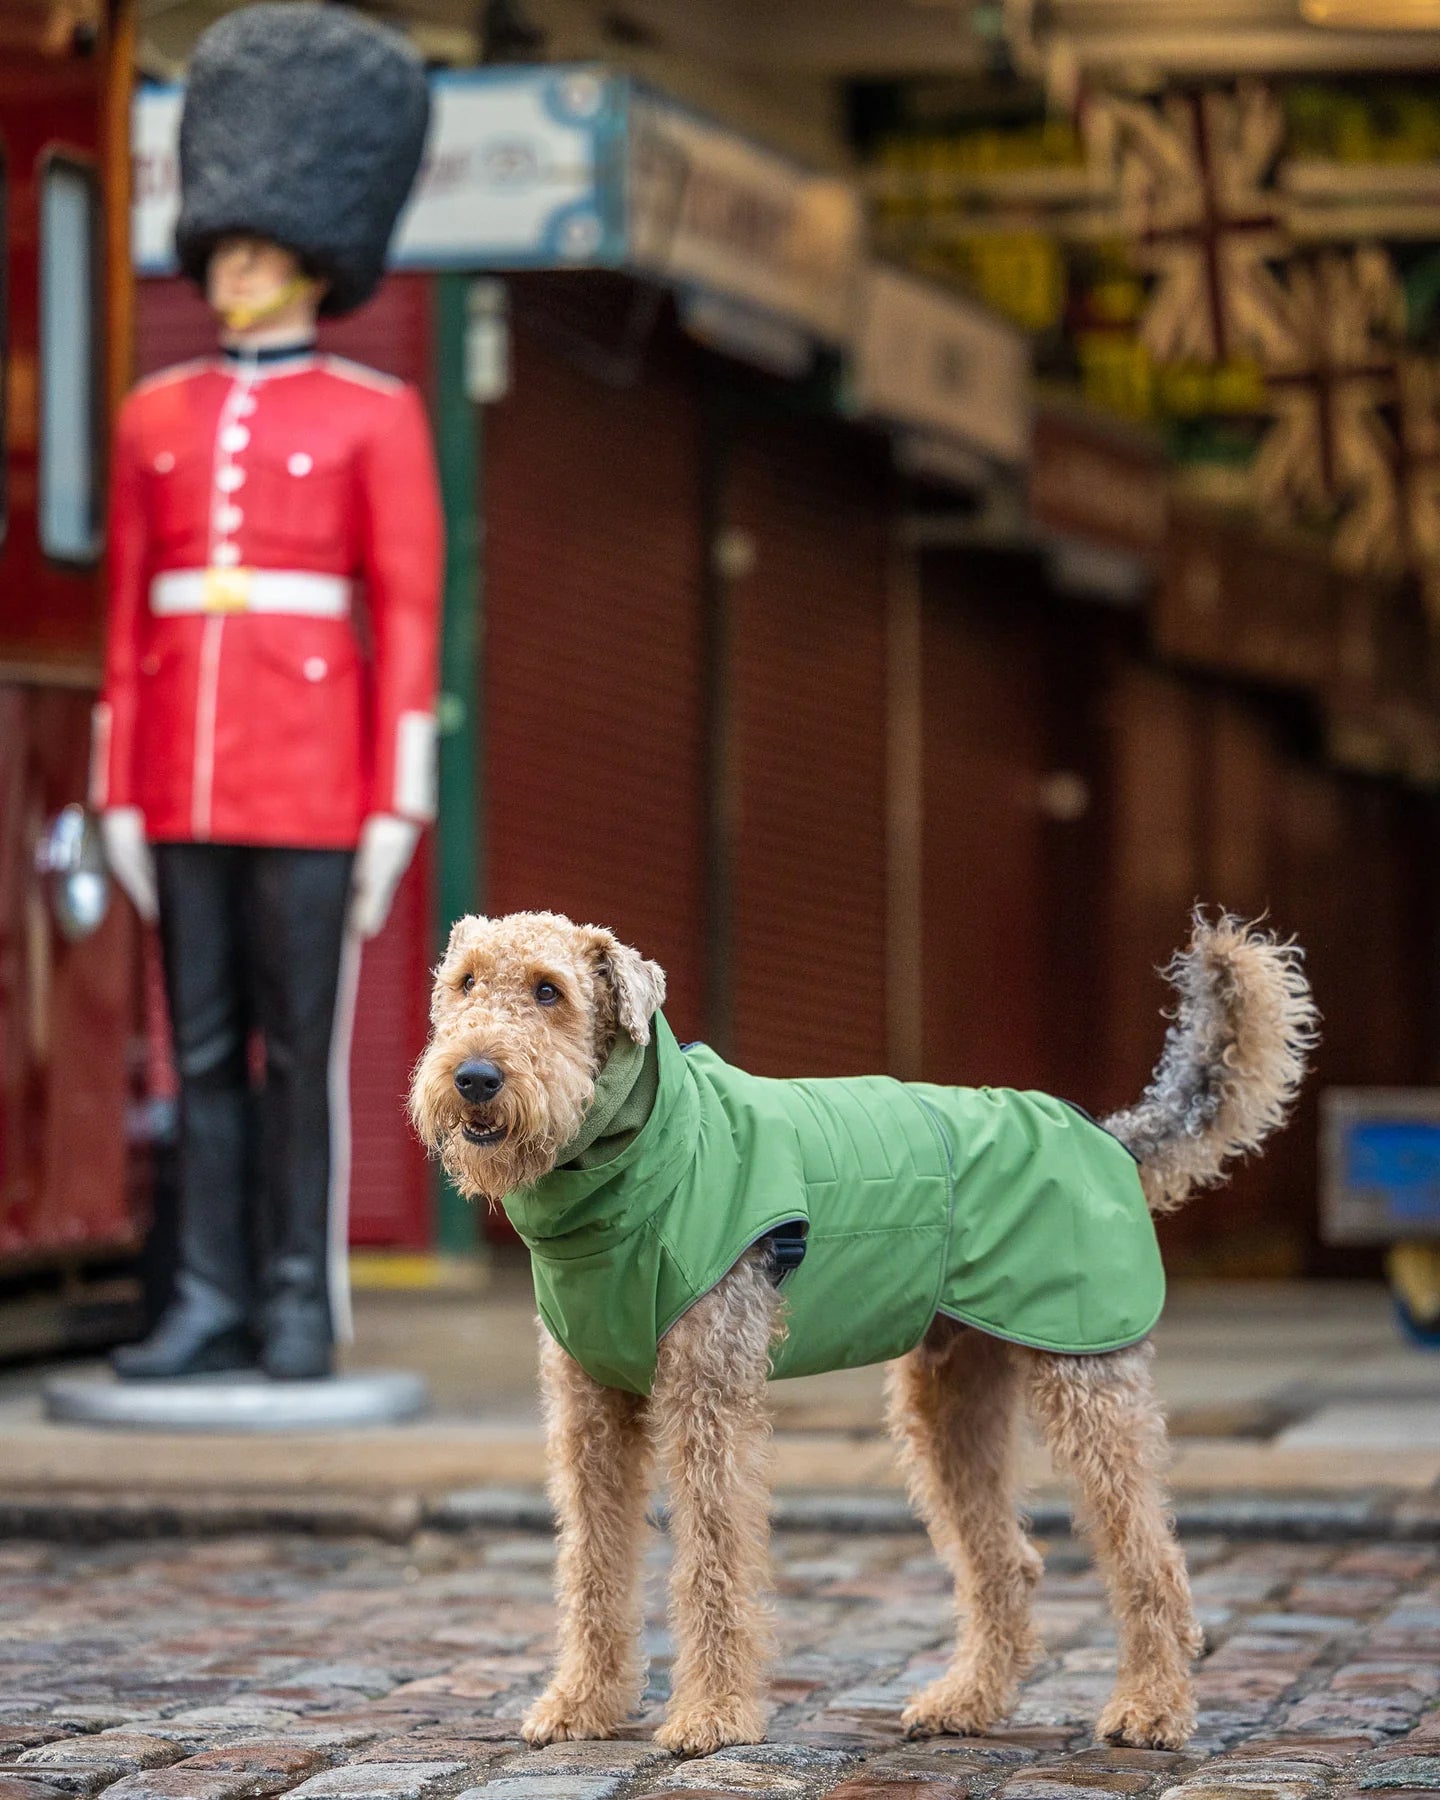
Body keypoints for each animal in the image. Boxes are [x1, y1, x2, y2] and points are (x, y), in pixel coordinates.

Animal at [405, 907, 1317, 1749]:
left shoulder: (706, 1394)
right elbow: (591, 1561)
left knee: (1150, 1557)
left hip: (1085, 1375)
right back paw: (965, 1703)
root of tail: (1114, 1137)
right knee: (1007, 1563)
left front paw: (712, 1718)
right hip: (951, 1397)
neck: (636, 1168)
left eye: (548, 991)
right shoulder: (589, 1406)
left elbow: (713, 1560)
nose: (475, 1077)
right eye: (465, 984)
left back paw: (1151, 1709)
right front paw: (582, 1706)